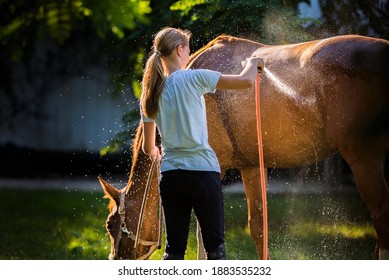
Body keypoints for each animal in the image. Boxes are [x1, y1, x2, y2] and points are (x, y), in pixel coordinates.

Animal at [99, 34, 388, 260]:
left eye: (110, 224)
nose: (113, 259)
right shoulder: (250, 166)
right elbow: (258, 227)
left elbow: (205, 233)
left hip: (364, 159)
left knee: (381, 219)